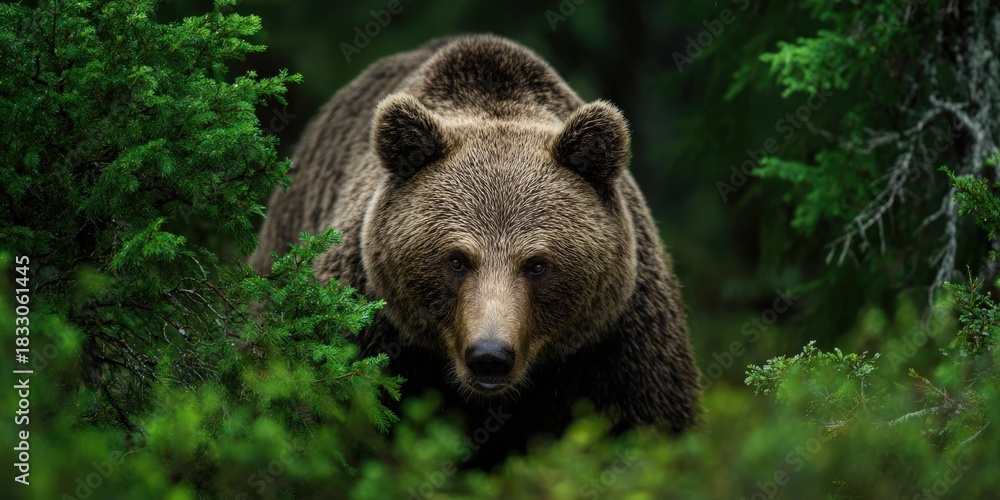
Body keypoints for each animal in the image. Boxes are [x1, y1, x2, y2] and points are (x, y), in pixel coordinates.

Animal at [250, 34, 701, 466]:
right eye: (456, 260)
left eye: (537, 264)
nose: (489, 355)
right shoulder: (363, 320)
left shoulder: (616, 341)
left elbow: (648, 421)